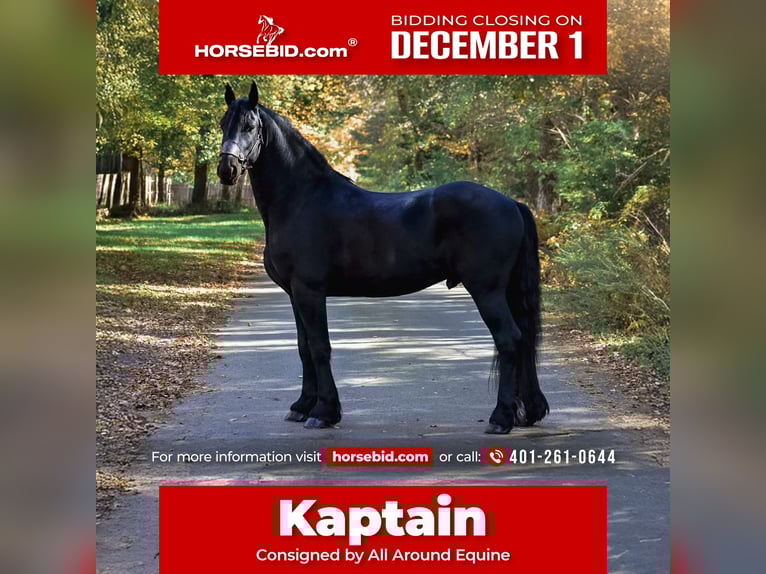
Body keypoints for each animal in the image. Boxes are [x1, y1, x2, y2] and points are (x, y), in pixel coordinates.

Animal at [217, 81, 549, 434]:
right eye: (223, 124)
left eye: (250, 126)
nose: (227, 169)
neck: (300, 200)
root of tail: (512, 203)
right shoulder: (294, 293)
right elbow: (304, 348)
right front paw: (302, 406)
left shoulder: (309, 290)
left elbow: (320, 348)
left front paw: (324, 412)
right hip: (505, 290)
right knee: (523, 340)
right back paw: (528, 412)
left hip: (487, 290)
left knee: (509, 340)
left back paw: (501, 418)